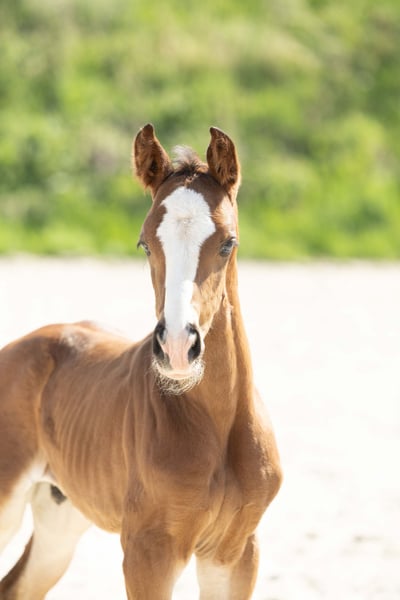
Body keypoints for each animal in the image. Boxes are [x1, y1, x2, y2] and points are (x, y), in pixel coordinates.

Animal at [0, 124, 282, 599]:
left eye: (228, 243)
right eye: (144, 244)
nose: (177, 347)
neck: (217, 426)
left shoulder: (237, 552)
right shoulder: (148, 552)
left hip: (61, 517)